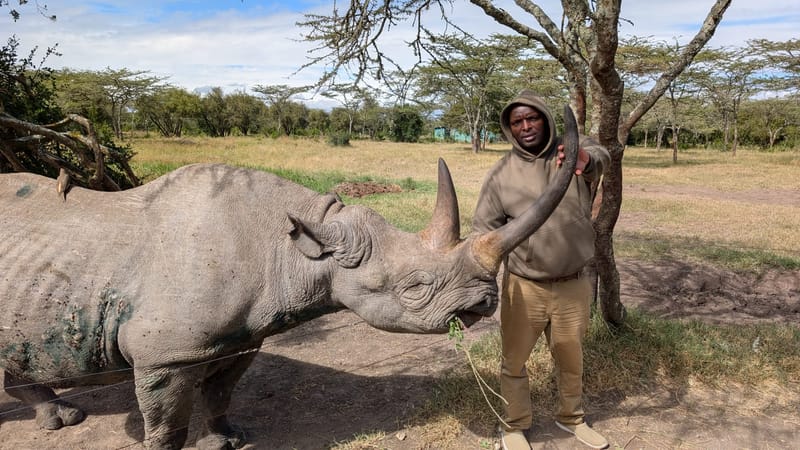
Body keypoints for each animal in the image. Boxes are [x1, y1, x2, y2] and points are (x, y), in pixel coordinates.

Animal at [0, 108, 579, 449]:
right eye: (414, 288)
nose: (484, 303)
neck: (298, 250)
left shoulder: (240, 337)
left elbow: (221, 394)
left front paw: (230, 439)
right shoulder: (165, 352)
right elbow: (165, 424)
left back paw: (59, 418)